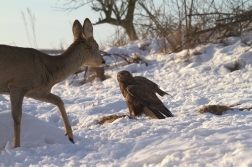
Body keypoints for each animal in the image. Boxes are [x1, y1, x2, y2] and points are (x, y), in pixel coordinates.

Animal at [0, 18, 105, 148]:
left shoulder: (38, 91)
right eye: (97, 46)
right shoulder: (16, 85)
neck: (49, 70)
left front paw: (70, 136)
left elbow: (59, 100)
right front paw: (16, 146)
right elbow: (17, 117)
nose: (103, 61)